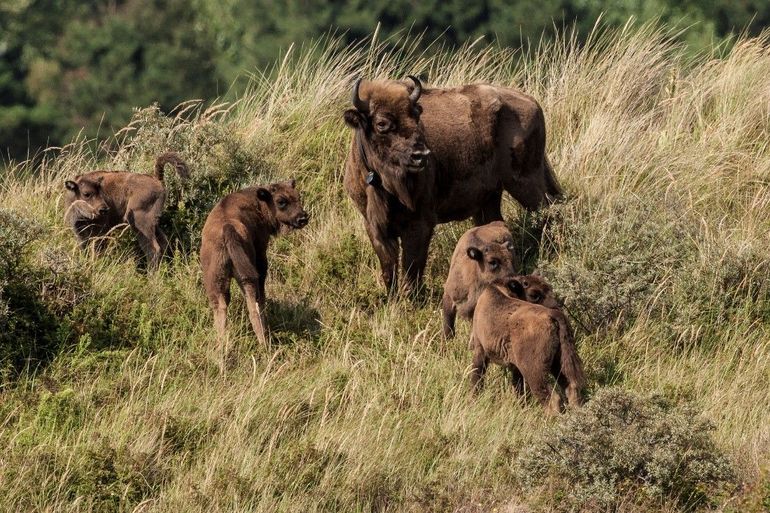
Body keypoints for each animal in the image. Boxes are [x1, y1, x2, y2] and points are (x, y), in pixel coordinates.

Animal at [201, 179, 308, 344]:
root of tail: (227, 228)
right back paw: (264, 341)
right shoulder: (261, 254)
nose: (302, 218)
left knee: (221, 309)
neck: (259, 203)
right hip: (248, 277)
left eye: (298, 197)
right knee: (253, 307)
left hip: (215, 279)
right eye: (281, 201)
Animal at [342, 76, 560, 292]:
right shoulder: (374, 226)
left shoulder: (420, 224)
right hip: (490, 198)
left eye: (415, 117)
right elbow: (389, 269)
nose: (421, 155)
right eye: (382, 123)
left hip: (525, 182)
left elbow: (412, 267)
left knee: (548, 211)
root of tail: (532, 102)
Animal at [468, 276, 584, 412]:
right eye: (534, 295)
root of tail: (553, 315)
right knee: (571, 388)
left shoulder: (479, 350)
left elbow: (476, 378)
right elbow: (519, 390)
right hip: (558, 363)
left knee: (552, 398)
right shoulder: (515, 367)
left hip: (534, 372)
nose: (557, 307)